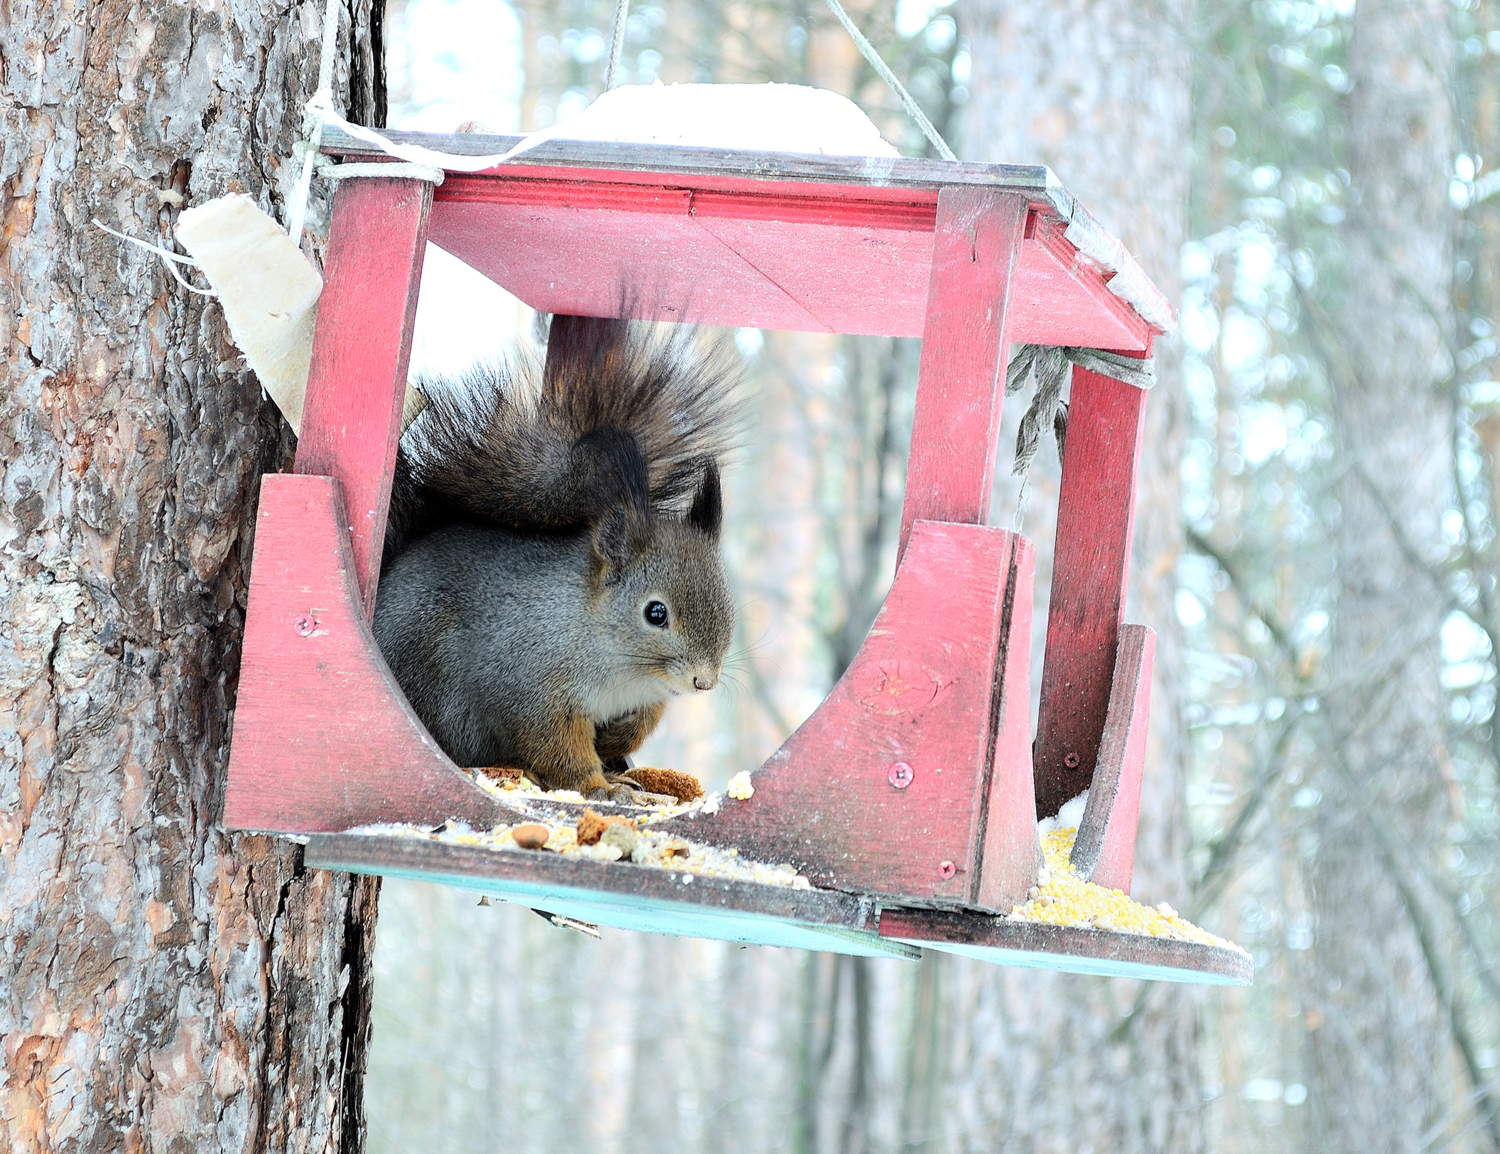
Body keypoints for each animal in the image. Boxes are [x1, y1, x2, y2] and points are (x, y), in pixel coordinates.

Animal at [366, 315, 735, 804]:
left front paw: (618, 741)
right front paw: (599, 788)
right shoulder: (531, 684)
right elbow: (556, 745)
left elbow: (643, 720)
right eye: (656, 613)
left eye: (729, 607)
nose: (703, 682)